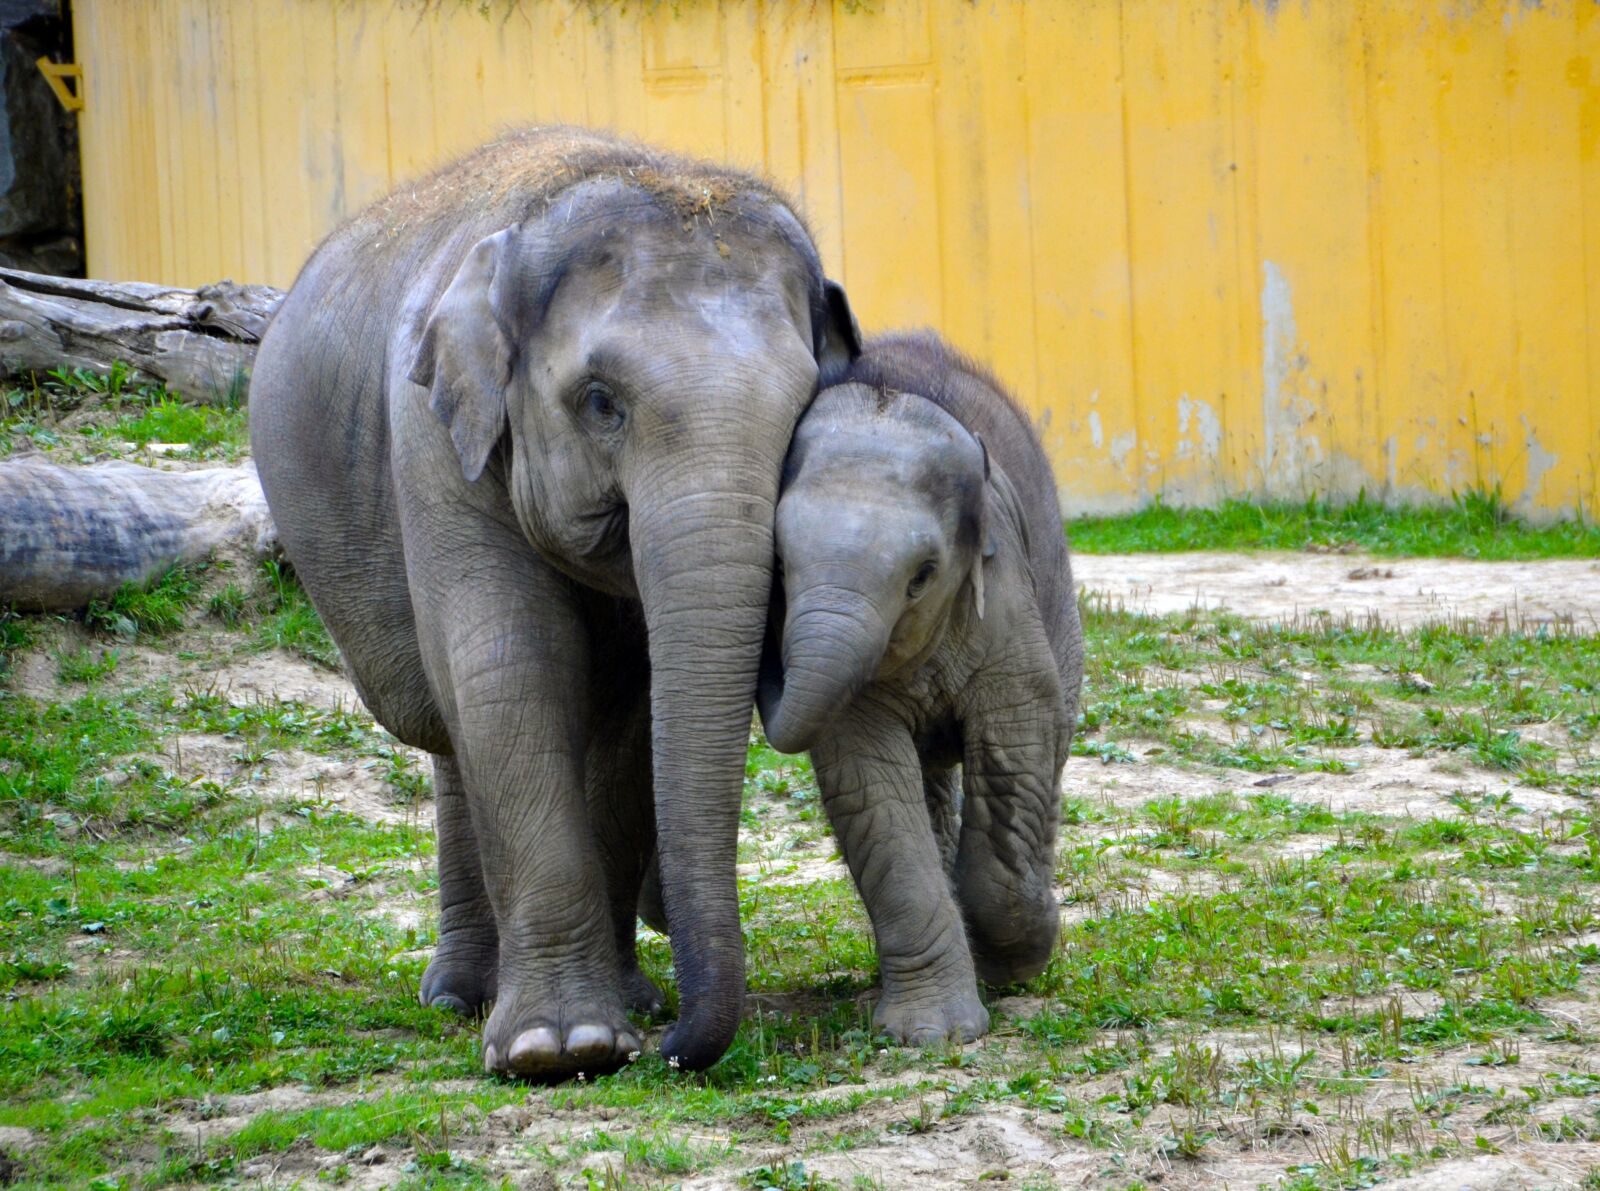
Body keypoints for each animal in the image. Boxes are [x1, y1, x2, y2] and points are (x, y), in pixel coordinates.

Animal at [248, 127, 860, 1081]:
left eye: (804, 407)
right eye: (601, 403)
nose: (676, 1050)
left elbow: (633, 706)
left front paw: (619, 1018)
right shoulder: (433, 440)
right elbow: (514, 663)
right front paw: (557, 1049)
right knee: (453, 731)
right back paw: (462, 997)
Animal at [756, 331, 1083, 1045]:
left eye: (923, 576)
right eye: (780, 566)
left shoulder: (1003, 597)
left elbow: (1020, 733)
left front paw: (1020, 960)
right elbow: (869, 781)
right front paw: (931, 1036)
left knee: (1053, 742)